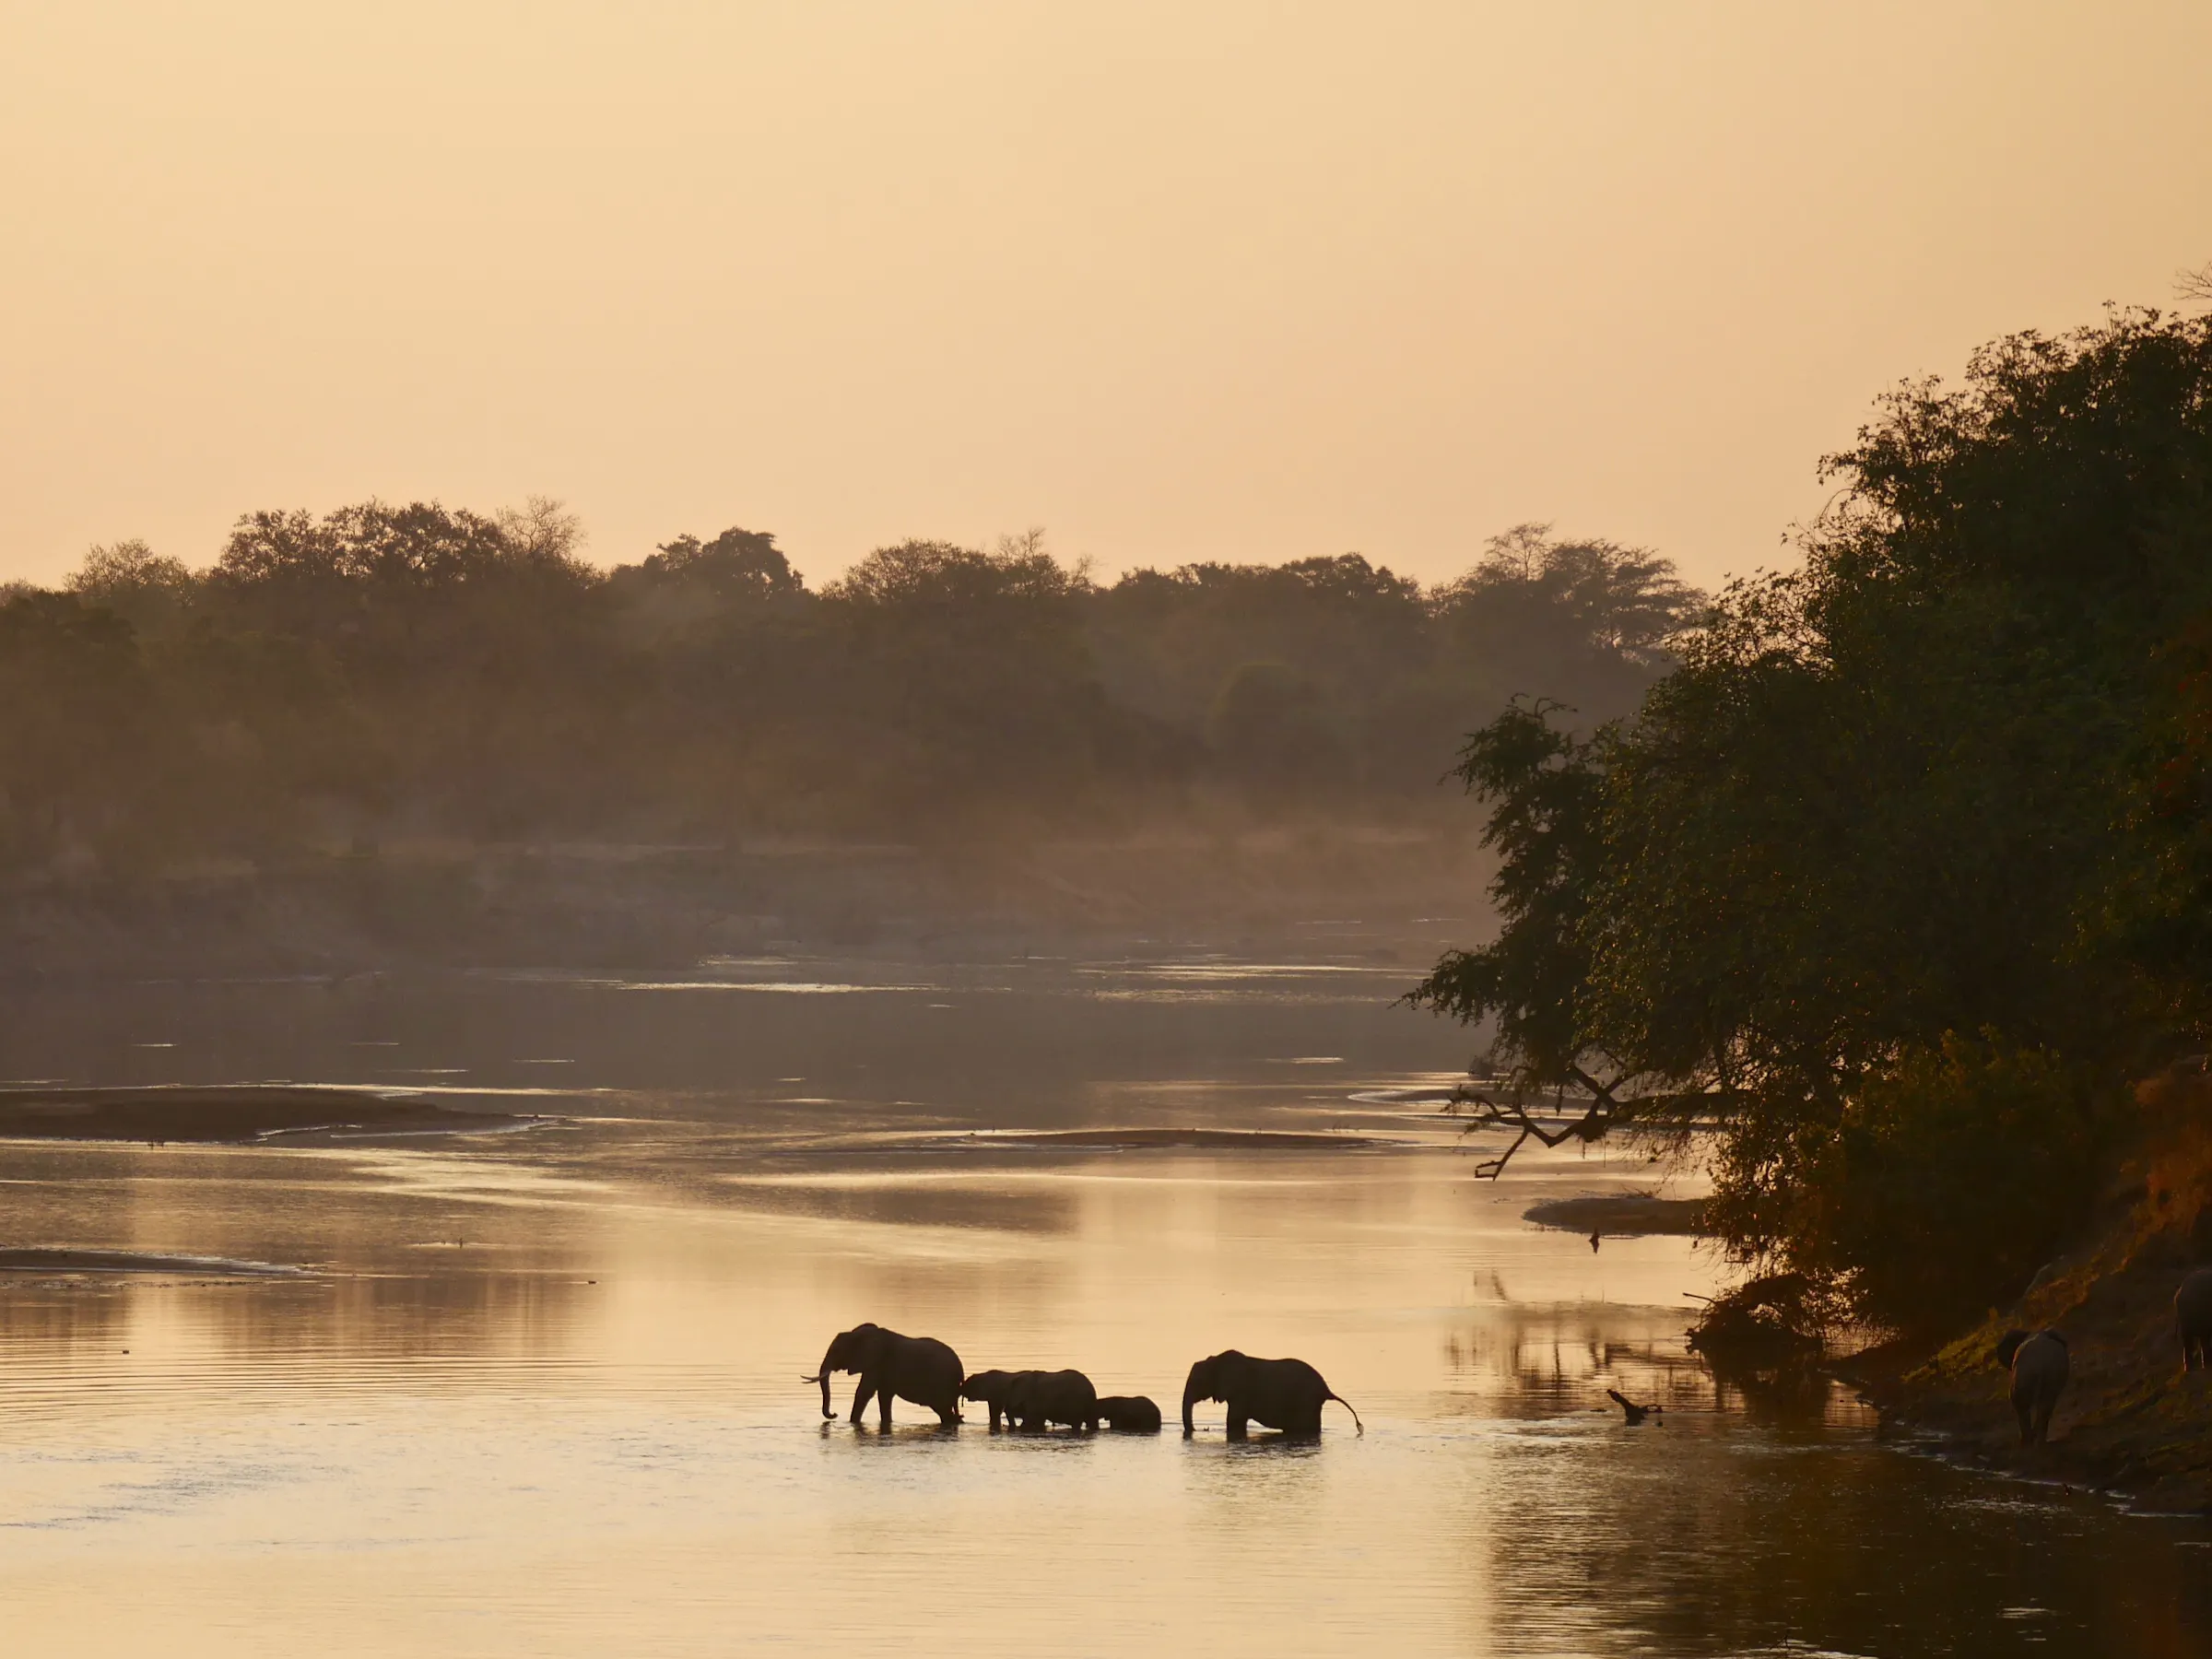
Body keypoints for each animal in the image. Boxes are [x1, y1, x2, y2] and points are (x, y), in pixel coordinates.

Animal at [804, 1322, 964, 1427]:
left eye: (836, 1351)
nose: (834, 1414)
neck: (856, 1334)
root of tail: (960, 1370)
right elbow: (884, 1397)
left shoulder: (875, 1363)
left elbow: (864, 1392)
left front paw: (852, 1423)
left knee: (944, 1411)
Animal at [1181, 1349, 1362, 1438]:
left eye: (1197, 1381)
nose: (1203, 1429)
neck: (1217, 1360)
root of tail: (1326, 1390)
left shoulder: (1240, 1392)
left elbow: (1234, 1420)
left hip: (1306, 1402)